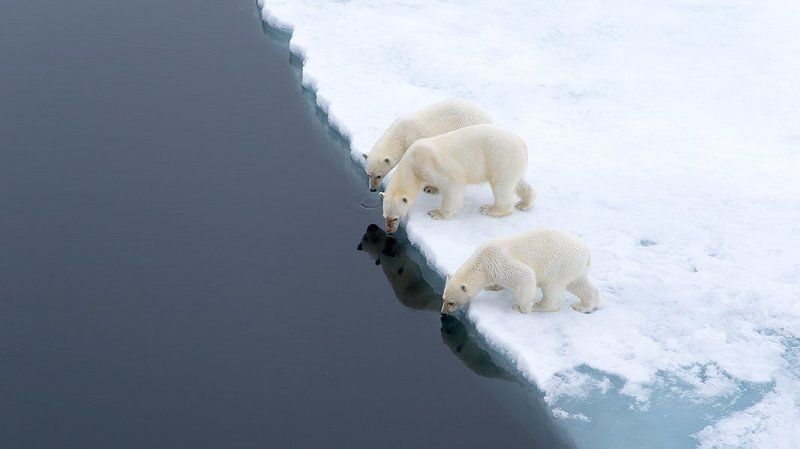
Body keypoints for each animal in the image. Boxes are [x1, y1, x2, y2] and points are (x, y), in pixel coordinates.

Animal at [362, 99, 492, 192]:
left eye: (379, 176)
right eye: (368, 174)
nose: (372, 189)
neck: (401, 135)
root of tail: (489, 119)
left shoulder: (415, 140)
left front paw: (428, 186)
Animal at [380, 123, 535, 234]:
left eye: (395, 218)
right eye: (384, 216)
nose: (389, 231)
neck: (412, 164)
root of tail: (522, 144)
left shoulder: (432, 165)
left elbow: (452, 186)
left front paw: (436, 213)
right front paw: (430, 188)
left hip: (500, 158)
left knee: (501, 186)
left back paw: (490, 209)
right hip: (512, 162)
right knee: (517, 182)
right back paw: (524, 203)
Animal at [441, 229, 600, 315]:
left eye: (451, 302)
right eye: (443, 299)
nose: (443, 312)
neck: (482, 261)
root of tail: (587, 252)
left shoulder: (498, 261)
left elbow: (525, 275)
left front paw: (520, 308)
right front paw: (492, 286)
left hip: (559, 265)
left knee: (552, 289)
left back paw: (540, 306)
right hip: (574, 267)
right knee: (579, 284)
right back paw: (583, 305)